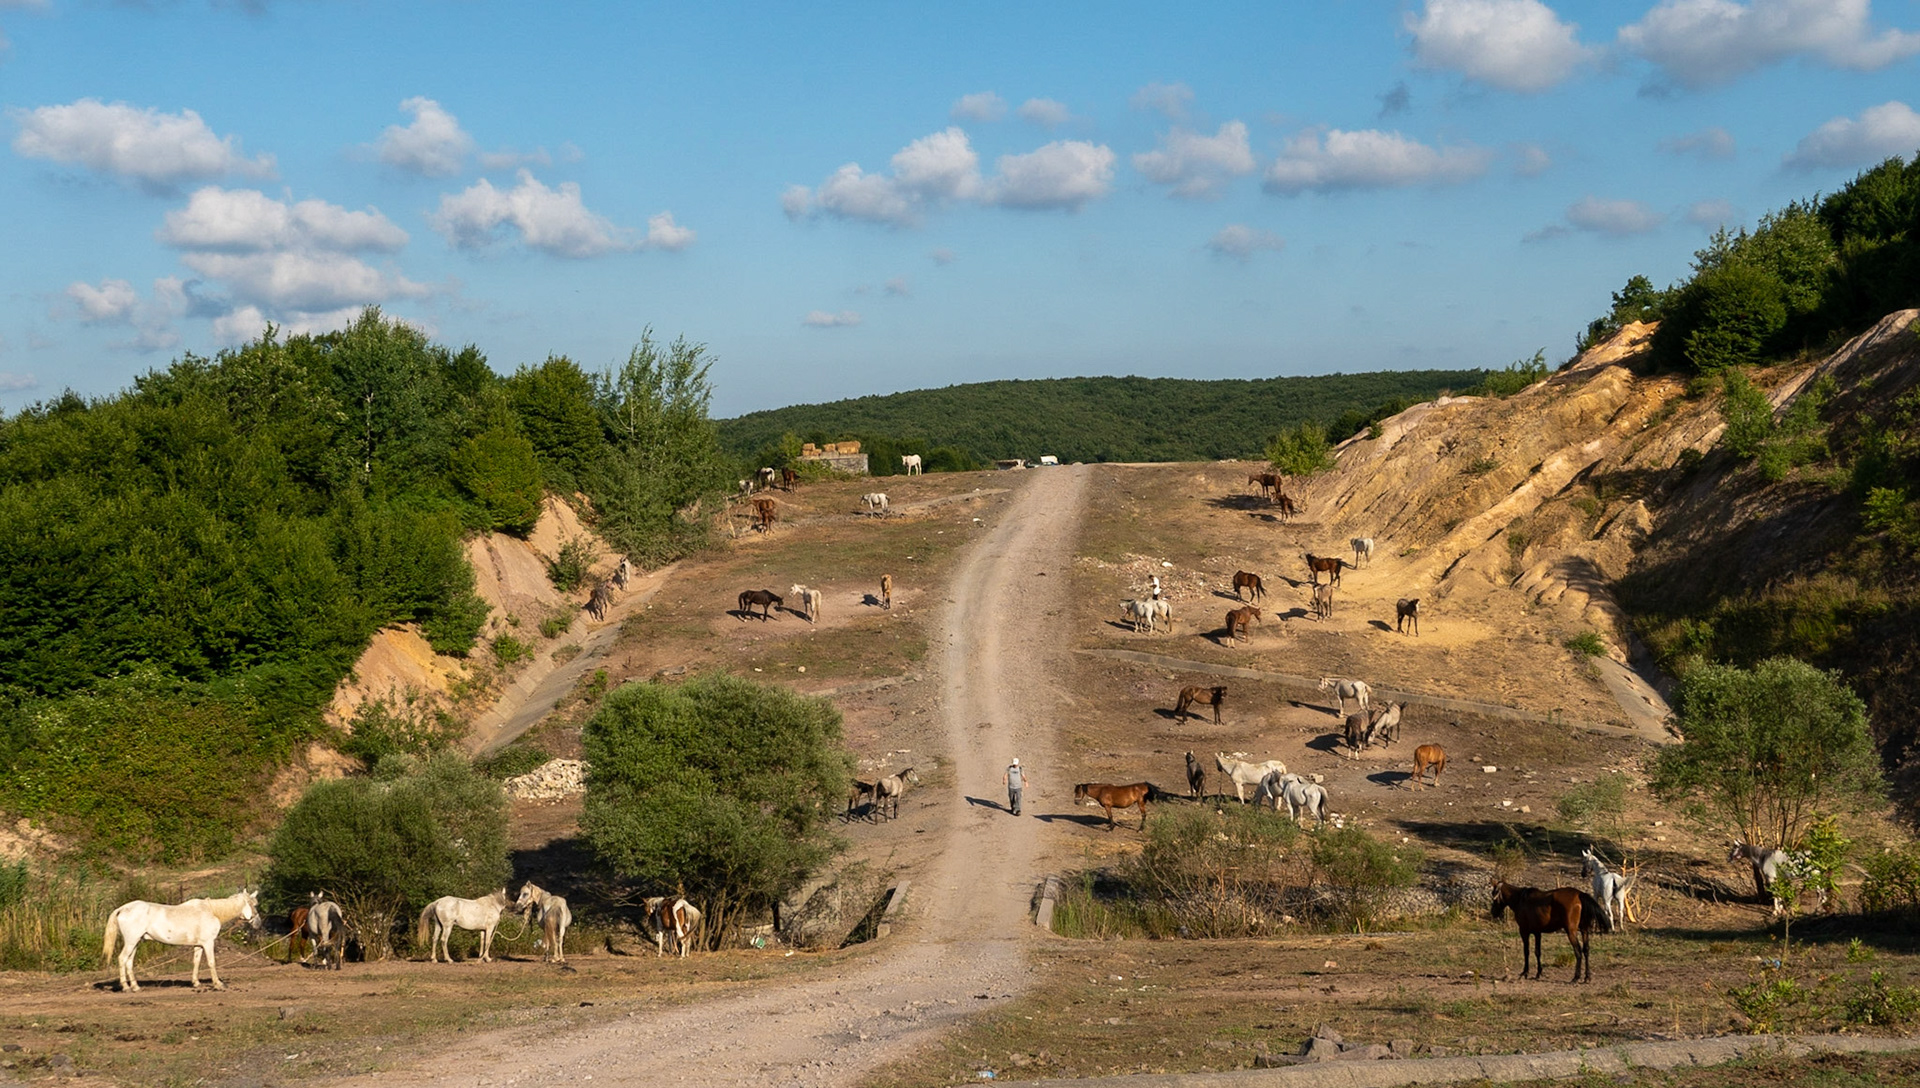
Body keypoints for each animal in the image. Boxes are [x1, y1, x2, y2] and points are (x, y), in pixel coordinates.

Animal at [104, 888, 259, 992]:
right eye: (254, 904)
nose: (258, 923)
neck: (212, 911)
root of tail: (122, 908)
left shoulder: (199, 945)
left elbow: (196, 962)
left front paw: (196, 983)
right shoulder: (208, 943)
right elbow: (211, 962)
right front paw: (218, 984)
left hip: (135, 942)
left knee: (129, 962)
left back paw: (135, 987)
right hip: (131, 942)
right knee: (122, 959)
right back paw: (126, 987)